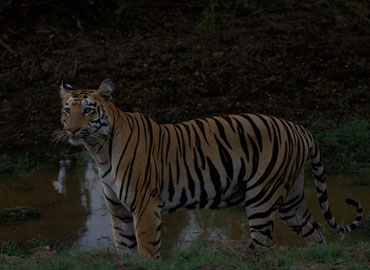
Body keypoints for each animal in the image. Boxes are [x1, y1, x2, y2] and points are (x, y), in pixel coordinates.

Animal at [55, 79, 362, 260]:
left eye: (88, 110)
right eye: (67, 110)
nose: (72, 130)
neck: (99, 151)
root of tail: (300, 128)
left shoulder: (144, 205)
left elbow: (147, 250)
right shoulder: (118, 210)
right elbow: (124, 248)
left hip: (262, 197)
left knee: (263, 246)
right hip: (291, 199)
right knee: (317, 231)